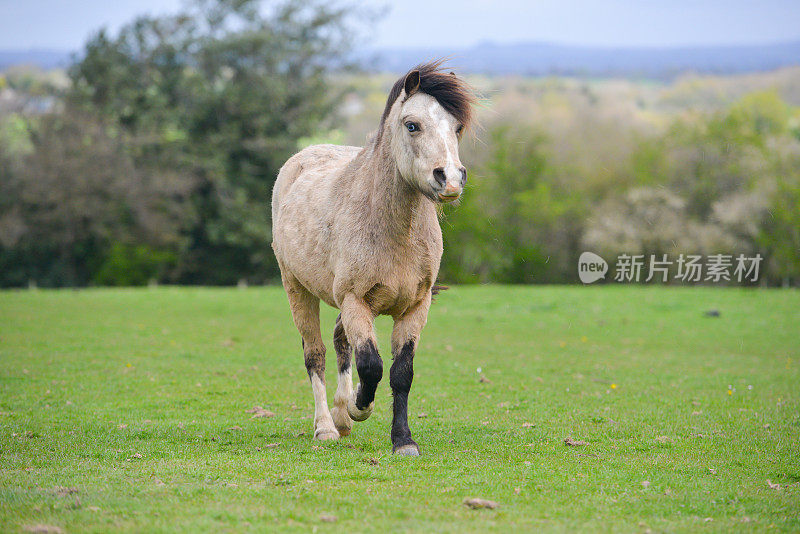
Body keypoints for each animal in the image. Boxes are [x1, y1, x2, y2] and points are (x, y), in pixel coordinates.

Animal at [272, 61, 478, 456]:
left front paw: (402, 440)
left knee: (339, 340)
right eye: (412, 125)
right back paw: (326, 426)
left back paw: (340, 417)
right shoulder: (356, 301)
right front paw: (358, 406)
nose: (449, 180)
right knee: (316, 353)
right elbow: (371, 365)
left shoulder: (415, 308)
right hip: (296, 289)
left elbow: (401, 373)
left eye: (457, 127)